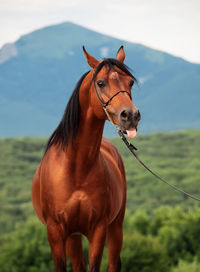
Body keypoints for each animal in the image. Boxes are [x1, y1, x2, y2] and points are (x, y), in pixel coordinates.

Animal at [31, 45, 141, 270]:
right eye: (101, 82)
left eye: (130, 82)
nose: (131, 116)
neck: (76, 168)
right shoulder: (55, 233)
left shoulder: (98, 230)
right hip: (72, 236)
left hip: (115, 228)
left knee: (113, 263)